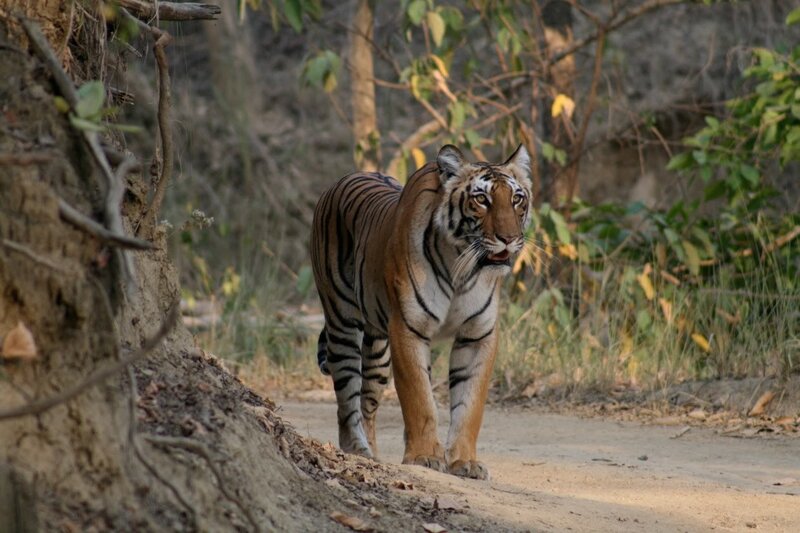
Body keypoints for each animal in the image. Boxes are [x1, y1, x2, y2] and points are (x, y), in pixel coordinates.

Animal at [310, 144, 531, 480]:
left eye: (517, 198)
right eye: (482, 199)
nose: (509, 239)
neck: (461, 266)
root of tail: (339, 182)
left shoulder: (478, 335)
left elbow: (470, 405)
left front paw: (465, 462)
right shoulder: (408, 328)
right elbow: (420, 398)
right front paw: (425, 457)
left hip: (378, 352)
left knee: (367, 403)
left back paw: (374, 454)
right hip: (342, 323)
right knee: (346, 399)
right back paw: (358, 452)